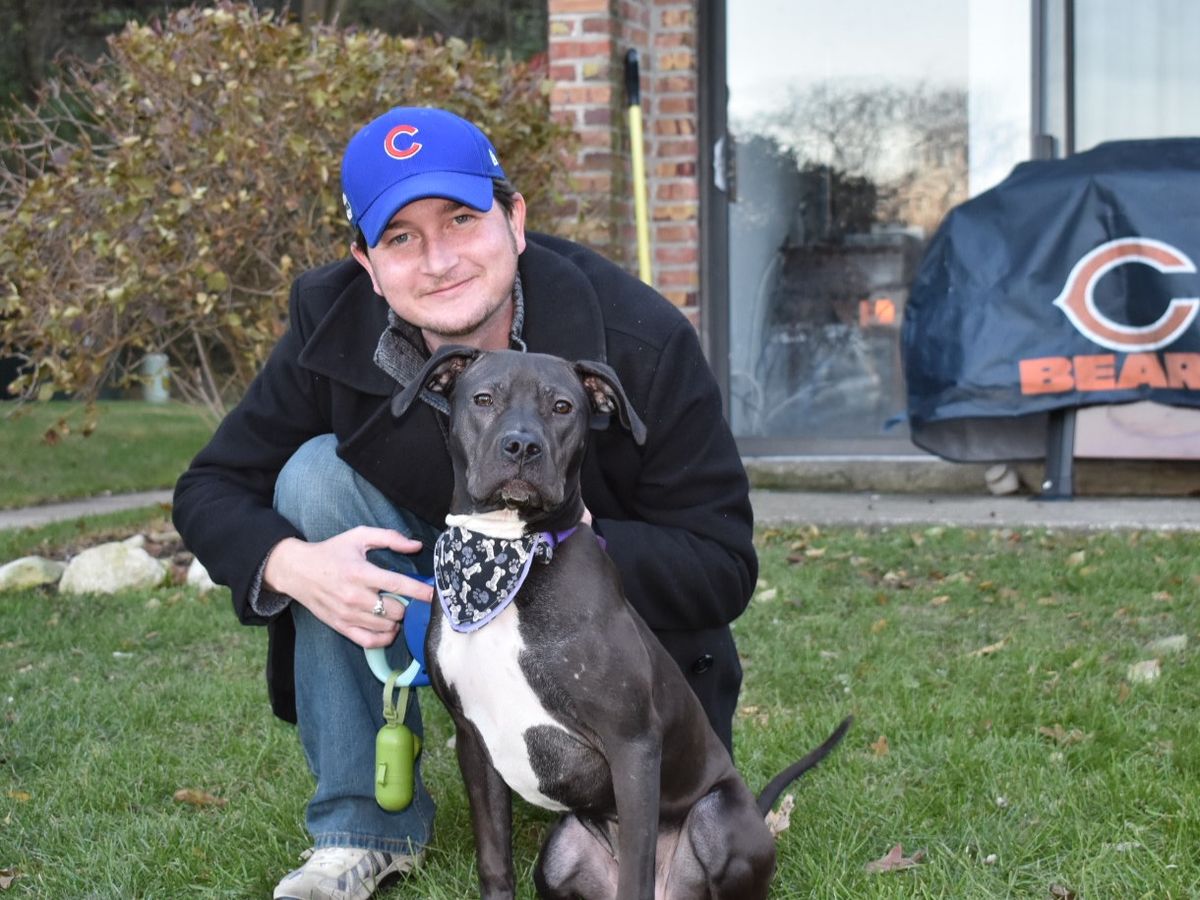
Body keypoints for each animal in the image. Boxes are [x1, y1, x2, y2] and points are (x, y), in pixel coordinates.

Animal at [392, 345, 850, 900]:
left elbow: (636, 868)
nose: (521, 445)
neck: (510, 557)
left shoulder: (632, 745)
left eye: (563, 407)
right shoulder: (473, 743)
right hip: (559, 853)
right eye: (483, 399)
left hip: (715, 816)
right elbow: (494, 861)